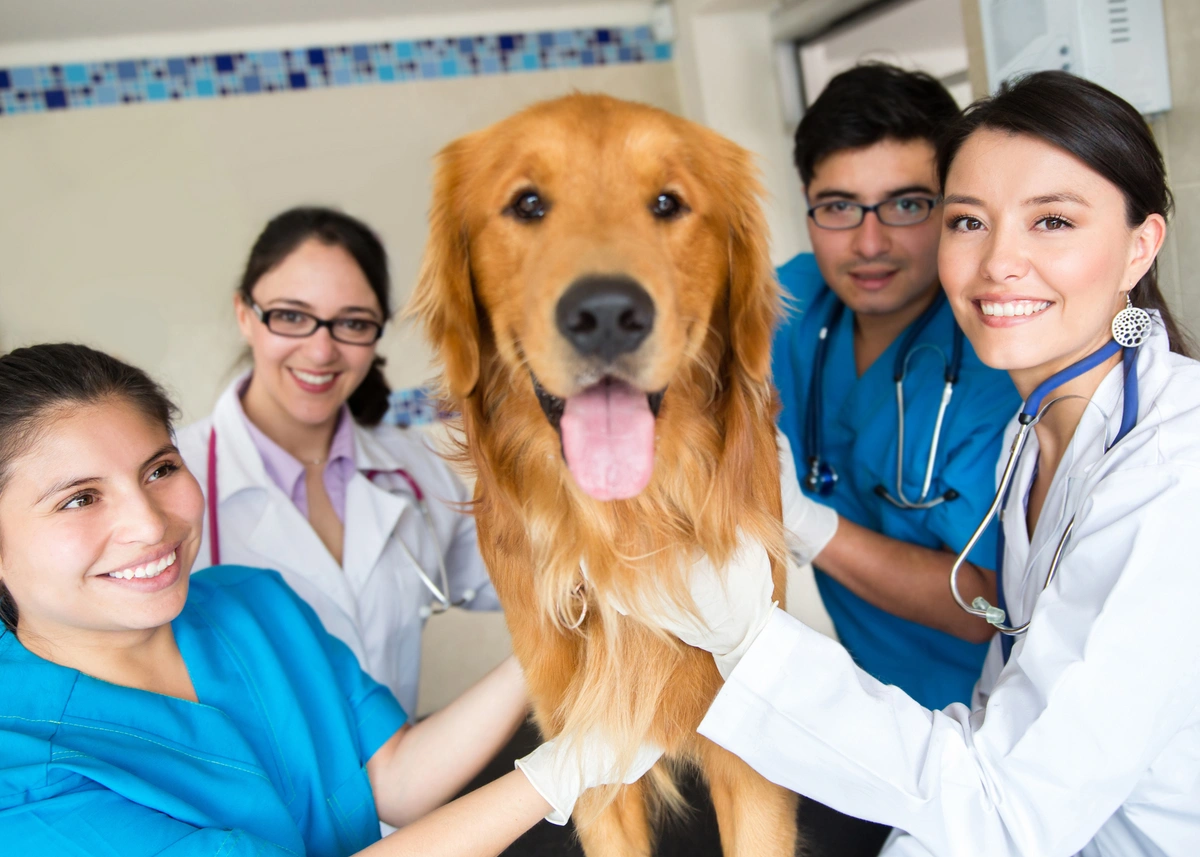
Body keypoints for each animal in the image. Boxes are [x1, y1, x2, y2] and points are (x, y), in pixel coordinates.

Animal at [410, 93, 796, 854]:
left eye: (668, 202)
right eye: (527, 203)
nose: (609, 313)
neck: (624, 525)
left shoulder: (751, 763)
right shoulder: (586, 754)